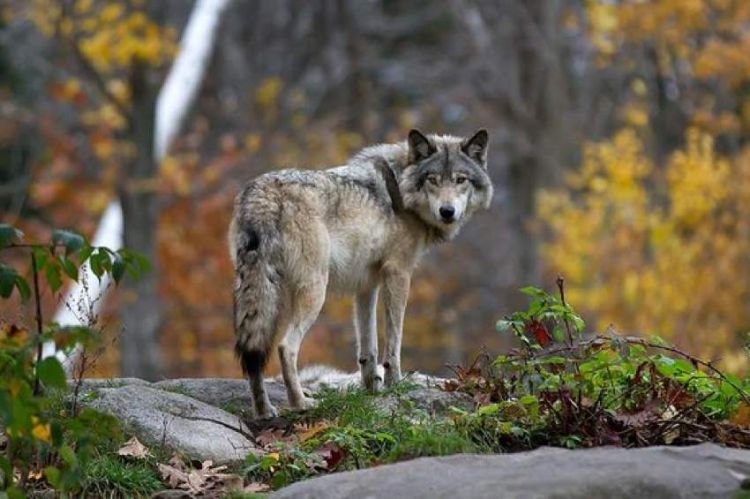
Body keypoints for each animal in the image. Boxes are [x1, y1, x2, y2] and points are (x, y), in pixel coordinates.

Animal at [232, 130, 496, 418]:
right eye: (433, 180)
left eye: (460, 180)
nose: (447, 212)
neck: (400, 190)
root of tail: (262, 193)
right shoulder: (398, 273)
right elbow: (393, 342)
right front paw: (395, 384)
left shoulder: (366, 286)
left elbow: (368, 348)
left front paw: (372, 390)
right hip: (314, 292)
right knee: (285, 347)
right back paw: (300, 403)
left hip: (261, 297)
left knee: (254, 353)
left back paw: (264, 410)